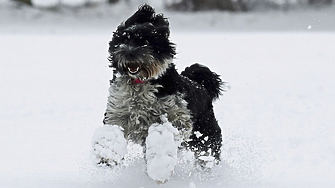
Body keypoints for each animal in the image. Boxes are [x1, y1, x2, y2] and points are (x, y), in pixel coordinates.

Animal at [90, 4, 224, 184]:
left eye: (146, 41)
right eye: (124, 40)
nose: (129, 52)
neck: (140, 83)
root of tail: (202, 86)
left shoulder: (177, 116)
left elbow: (163, 134)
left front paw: (160, 168)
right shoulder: (117, 113)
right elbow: (111, 132)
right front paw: (106, 155)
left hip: (206, 137)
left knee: (207, 156)